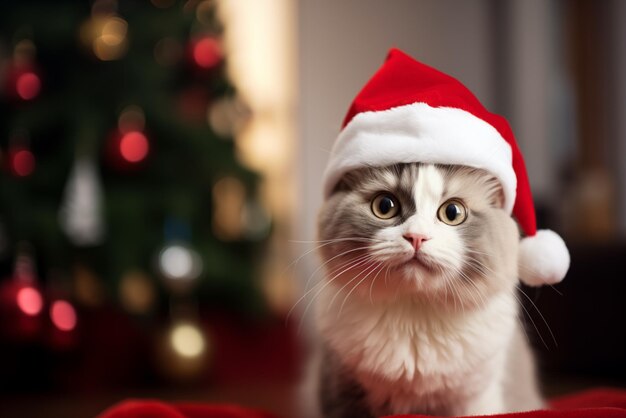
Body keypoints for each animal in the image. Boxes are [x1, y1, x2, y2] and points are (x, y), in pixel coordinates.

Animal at [302, 162, 540, 418]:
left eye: (452, 212)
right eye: (384, 206)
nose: (416, 237)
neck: (414, 312)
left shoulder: (476, 398)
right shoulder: (340, 388)